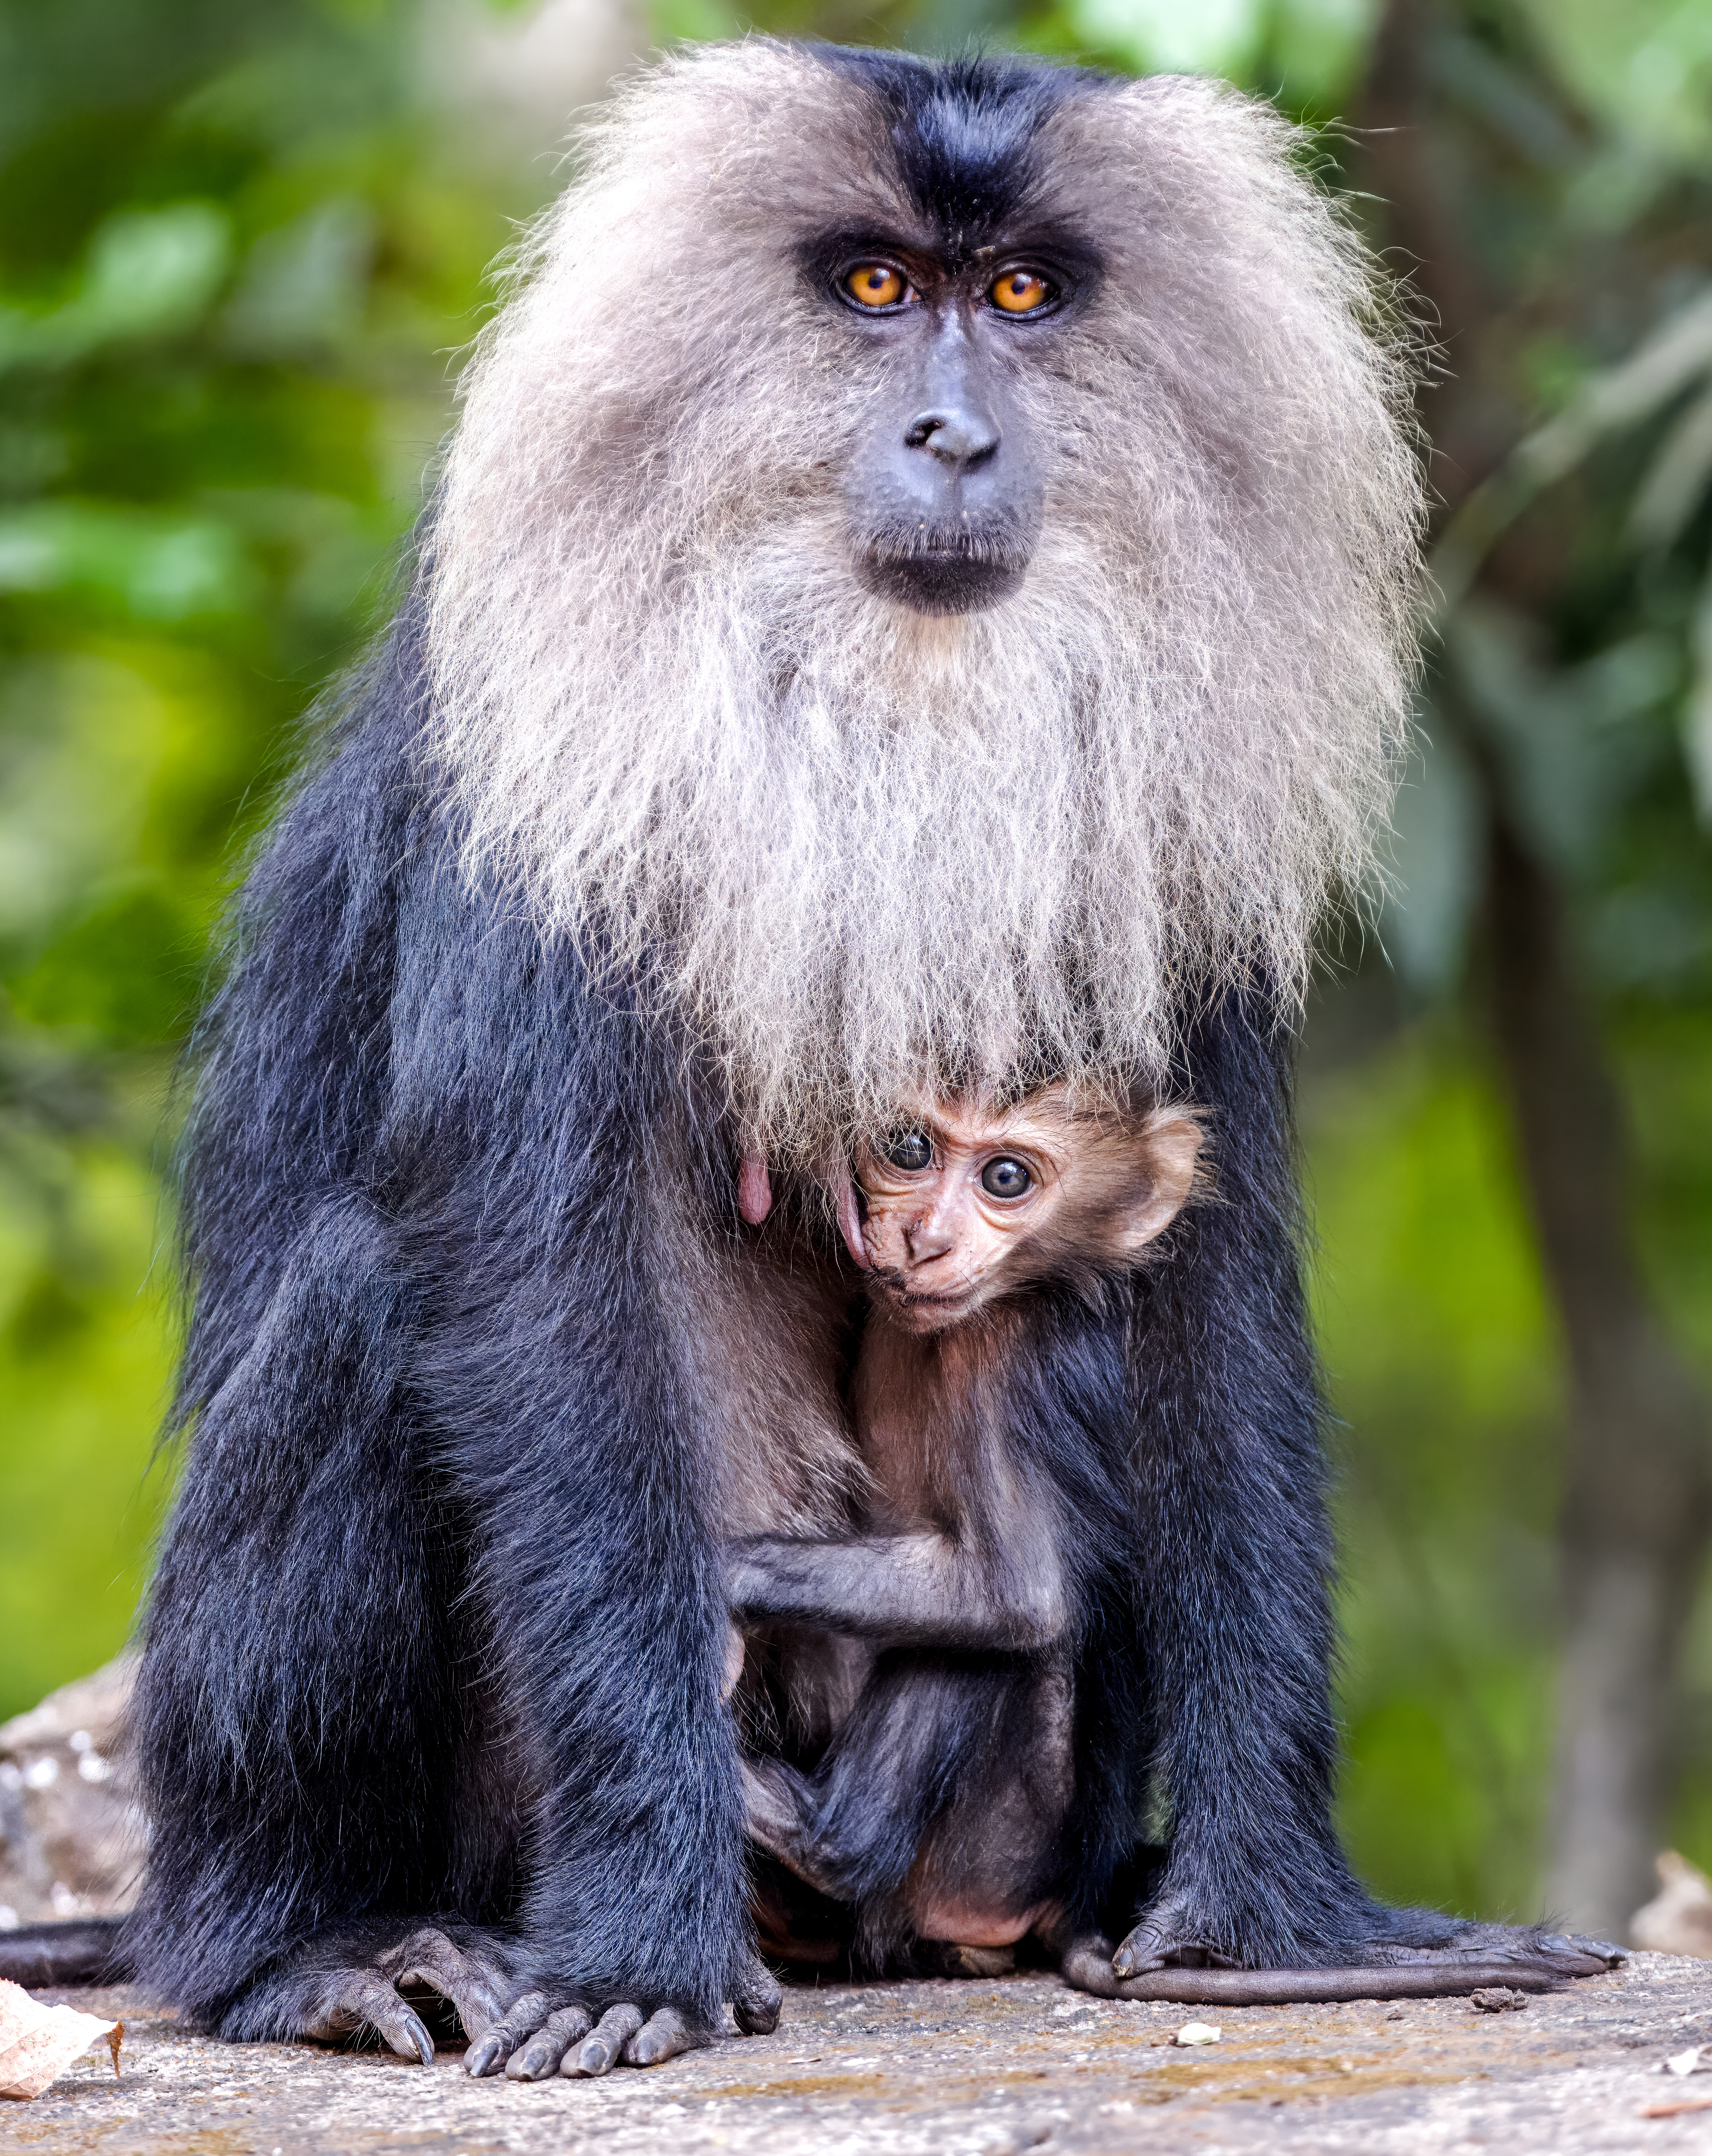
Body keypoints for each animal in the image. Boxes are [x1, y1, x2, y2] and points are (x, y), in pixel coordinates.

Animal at [109, 40, 1620, 2083]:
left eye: (1022, 296)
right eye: (879, 290)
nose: (955, 439)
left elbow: (1203, 1289)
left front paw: (1269, 1921)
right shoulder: (530, 782)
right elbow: (532, 1272)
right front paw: (631, 1950)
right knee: (365, 1288)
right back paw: (299, 1949)